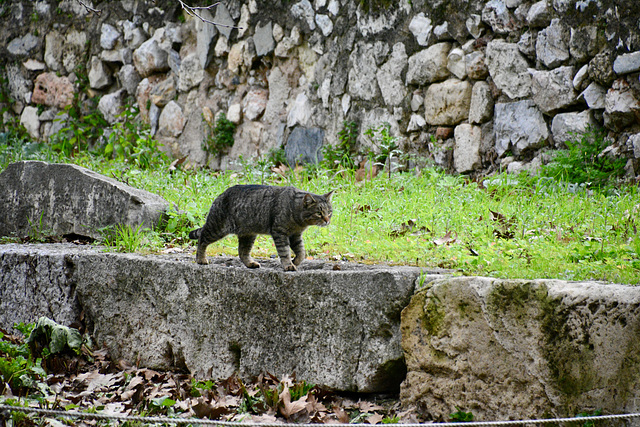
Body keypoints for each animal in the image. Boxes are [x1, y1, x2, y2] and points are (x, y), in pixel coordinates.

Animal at [188, 184, 332, 270]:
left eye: (329, 212)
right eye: (319, 213)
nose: (327, 220)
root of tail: (222, 194)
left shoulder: (295, 235)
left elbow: (302, 252)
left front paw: (295, 261)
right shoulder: (280, 232)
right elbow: (284, 251)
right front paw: (288, 265)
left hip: (248, 234)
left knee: (242, 252)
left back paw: (250, 263)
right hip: (217, 228)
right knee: (202, 238)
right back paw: (201, 259)